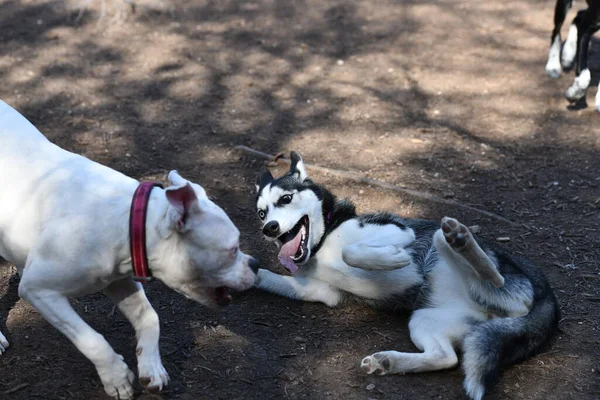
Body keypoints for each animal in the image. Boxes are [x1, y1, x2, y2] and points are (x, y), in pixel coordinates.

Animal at [0, 100, 255, 396]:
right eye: (233, 249)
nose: (256, 264)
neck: (130, 221)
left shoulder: (120, 280)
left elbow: (149, 317)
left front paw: (151, 367)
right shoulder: (40, 291)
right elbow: (92, 340)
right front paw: (116, 377)